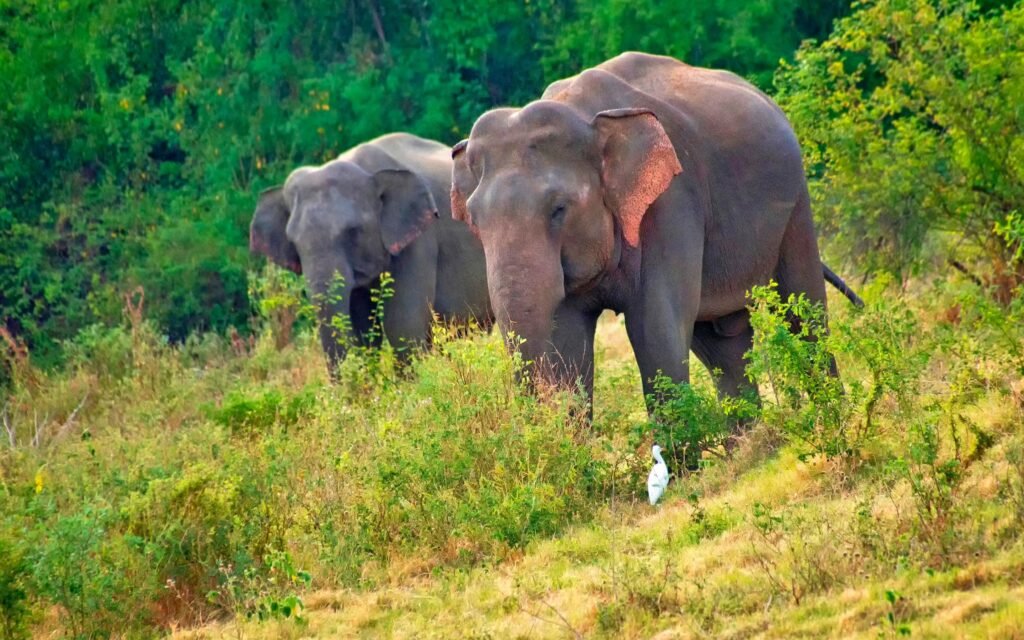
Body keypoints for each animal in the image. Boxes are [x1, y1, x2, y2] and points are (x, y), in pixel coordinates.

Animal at [452, 49, 860, 409]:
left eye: (559, 209)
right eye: (474, 220)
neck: (585, 117)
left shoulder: (670, 203)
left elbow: (655, 330)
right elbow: (567, 339)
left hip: (796, 204)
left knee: (804, 313)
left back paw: (832, 418)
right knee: (722, 344)